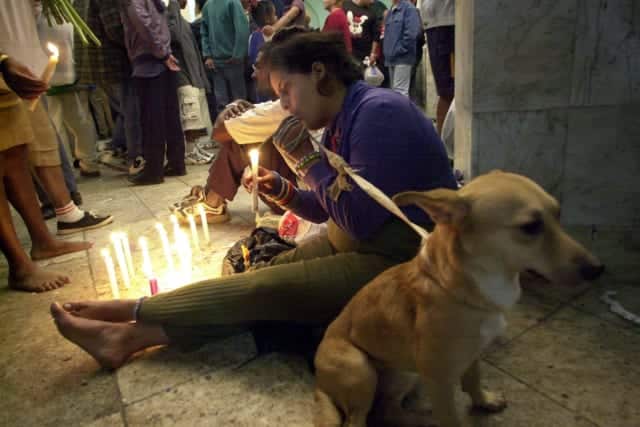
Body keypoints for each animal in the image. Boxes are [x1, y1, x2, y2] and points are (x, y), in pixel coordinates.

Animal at [312, 171, 604, 427]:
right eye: (530, 227)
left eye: (558, 214)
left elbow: (473, 380)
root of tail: (319, 383)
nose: (597, 269)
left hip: (407, 374)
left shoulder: (473, 353)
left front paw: (483, 401)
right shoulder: (439, 382)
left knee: (388, 410)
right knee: (357, 420)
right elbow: (452, 419)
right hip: (361, 369)